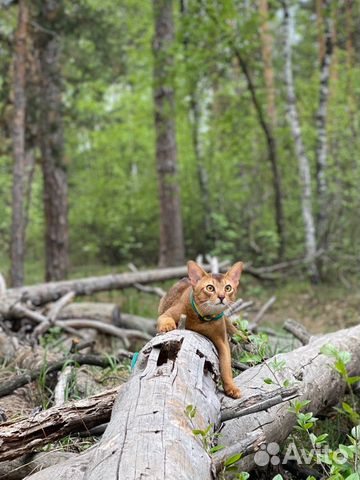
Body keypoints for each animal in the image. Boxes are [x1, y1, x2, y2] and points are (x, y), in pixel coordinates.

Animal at [157, 260, 243, 400]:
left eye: (228, 288)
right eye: (210, 288)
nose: (221, 296)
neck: (203, 319)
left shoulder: (222, 341)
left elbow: (226, 366)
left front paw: (231, 387)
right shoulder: (167, 314)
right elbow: (166, 319)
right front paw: (167, 326)